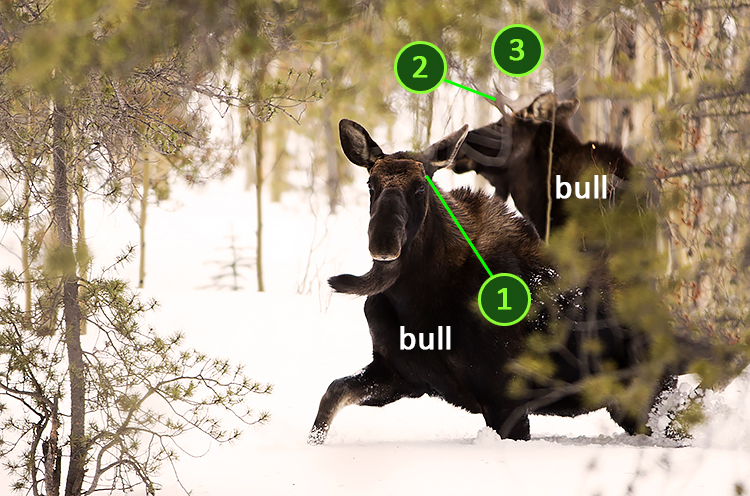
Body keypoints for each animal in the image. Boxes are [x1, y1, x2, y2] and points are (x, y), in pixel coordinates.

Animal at [308, 119, 672, 445]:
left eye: (420, 187)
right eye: (371, 185)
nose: (384, 243)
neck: (415, 301)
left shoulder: (505, 398)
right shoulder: (400, 373)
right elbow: (331, 395)